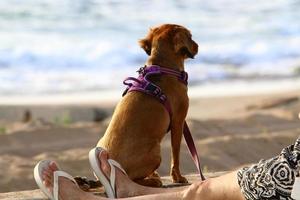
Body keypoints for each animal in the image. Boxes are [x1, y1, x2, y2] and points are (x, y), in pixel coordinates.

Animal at [97, 24, 198, 187]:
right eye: (190, 37)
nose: (197, 45)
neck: (162, 66)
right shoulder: (178, 122)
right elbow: (175, 153)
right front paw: (177, 177)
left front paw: (157, 174)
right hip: (155, 151)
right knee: (130, 180)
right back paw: (152, 181)